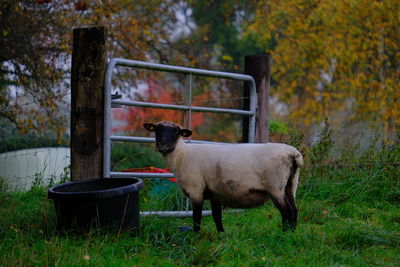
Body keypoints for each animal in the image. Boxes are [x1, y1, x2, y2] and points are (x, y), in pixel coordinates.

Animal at [144, 121, 304, 232]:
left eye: (176, 131)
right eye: (157, 129)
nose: (163, 144)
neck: (182, 155)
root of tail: (292, 153)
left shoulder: (196, 191)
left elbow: (196, 217)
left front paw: (196, 236)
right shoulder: (215, 193)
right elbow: (217, 217)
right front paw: (221, 235)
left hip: (275, 187)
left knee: (287, 212)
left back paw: (284, 234)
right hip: (290, 185)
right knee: (294, 211)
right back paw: (291, 233)